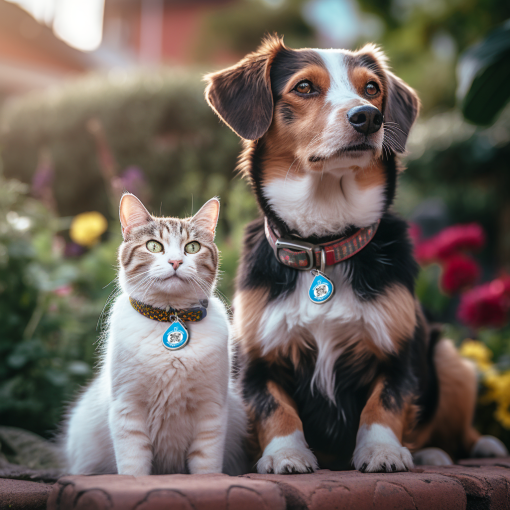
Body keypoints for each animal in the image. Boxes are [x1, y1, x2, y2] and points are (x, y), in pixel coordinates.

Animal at [63, 193, 247, 476]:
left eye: (192, 247)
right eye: (154, 246)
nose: (175, 262)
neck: (170, 318)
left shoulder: (211, 410)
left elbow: (206, 467)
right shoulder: (128, 407)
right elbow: (134, 468)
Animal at [203, 35, 506, 474]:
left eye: (372, 89)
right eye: (304, 87)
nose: (368, 118)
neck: (324, 246)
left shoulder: (397, 352)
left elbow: (384, 404)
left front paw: (382, 451)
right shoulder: (258, 360)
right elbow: (276, 409)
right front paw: (286, 454)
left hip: (452, 361)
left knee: (455, 430)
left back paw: (466, 448)